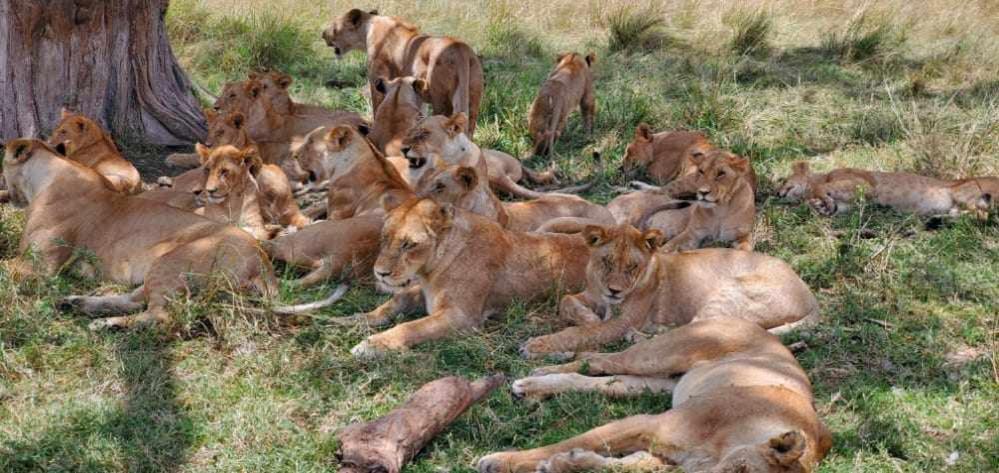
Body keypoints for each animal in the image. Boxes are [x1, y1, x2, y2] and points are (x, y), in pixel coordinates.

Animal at [324, 9, 484, 136]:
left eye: (334, 27)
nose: (322, 34)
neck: (370, 26)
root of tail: (460, 48)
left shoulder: (378, 79)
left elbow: (377, 108)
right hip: (472, 97)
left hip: (441, 99)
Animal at [346, 197, 592, 356]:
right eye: (384, 238)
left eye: (409, 244)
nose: (380, 273)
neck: (429, 272)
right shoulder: (425, 293)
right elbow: (394, 301)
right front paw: (354, 319)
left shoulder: (461, 317)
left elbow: (410, 327)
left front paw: (370, 345)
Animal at [472, 316, 832, 470]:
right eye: (739, 472)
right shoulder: (649, 423)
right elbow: (566, 442)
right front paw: (498, 461)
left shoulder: (661, 452)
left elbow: (621, 466)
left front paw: (569, 464)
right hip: (660, 353)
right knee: (597, 358)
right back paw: (535, 372)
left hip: (657, 381)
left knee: (599, 378)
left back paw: (536, 388)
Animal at [520, 225, 816, 358]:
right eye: (607, 262)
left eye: (632, 266)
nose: (615, 291)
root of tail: (809, 294)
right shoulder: (592, 295)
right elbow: (566, 300)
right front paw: (588, 317)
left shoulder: (622, 321)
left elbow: (581, 334)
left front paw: (536, 345)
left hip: (728, 291)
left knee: (698, 331)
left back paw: (639, 336)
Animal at [780, 159, 999, 217]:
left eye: (782, 180)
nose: (777, 193)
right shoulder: (852, 202)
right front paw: (819, 206)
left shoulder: (865, 185)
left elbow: (822, 187)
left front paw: (818, 201)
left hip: (963, 191)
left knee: (982, 215)